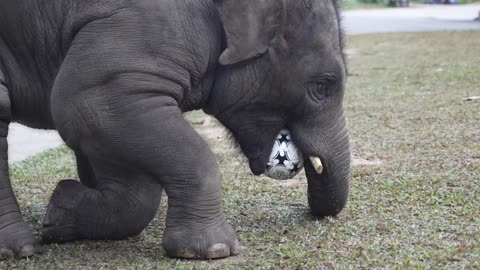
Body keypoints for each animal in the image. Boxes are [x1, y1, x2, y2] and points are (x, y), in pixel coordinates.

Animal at [0, 0, 348, 260]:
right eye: (322, 86)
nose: (315, 215)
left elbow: (116, 163)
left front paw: (59, 210)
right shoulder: (138, 34)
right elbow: (82, 103)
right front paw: (214, 251)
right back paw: (18, 250)